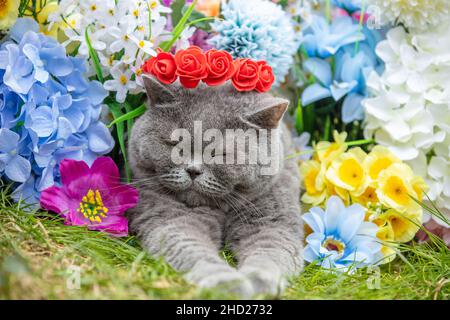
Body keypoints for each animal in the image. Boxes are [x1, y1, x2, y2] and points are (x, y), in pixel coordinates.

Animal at [127, 75, 302, 298]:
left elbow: (270, 254)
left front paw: (259, 284)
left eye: (221, 154)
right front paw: (227, 284)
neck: (222, 209)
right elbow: (191, 249)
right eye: (175, 145)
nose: (193, 170)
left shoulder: (273, 221)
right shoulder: (169, 217)